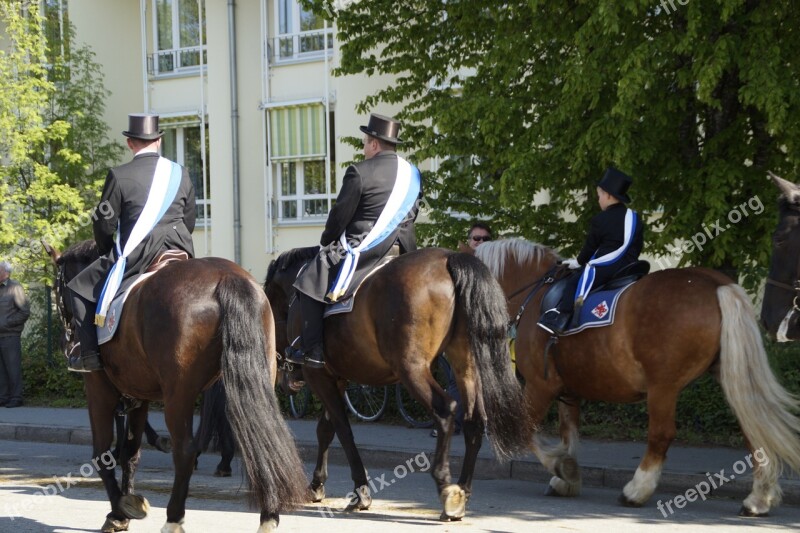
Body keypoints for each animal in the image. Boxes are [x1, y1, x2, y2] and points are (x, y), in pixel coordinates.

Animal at [46, 241, 306, 532]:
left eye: (58, 289)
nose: (66, 343)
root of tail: (227, 277)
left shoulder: (99, 392)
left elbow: (103, 455)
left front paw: (118, 511)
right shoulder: (139, 396)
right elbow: (129, 453)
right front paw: (125, 506)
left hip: (178, 395)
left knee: (185, 450)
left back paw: (173, 517)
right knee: (262, 438)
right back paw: (268, 515)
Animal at [266, 246, 536, 520]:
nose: (282, 379)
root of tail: (449, 257)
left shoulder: (319, 376)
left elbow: (342, 430)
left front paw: (360, 490)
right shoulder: (335, 379)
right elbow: (325, 430)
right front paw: (316, 484)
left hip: (412, 369)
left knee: (445, 409)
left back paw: (446, 487)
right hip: (465, 364)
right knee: (474, 420)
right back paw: (463, 490)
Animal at [472, 240, 800, 516]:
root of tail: (715, 282)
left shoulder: (541, 386)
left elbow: (525, 431)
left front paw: (562, 468)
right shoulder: (569, 389)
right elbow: (569, 432)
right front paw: (566, 478)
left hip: (663, 386)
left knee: (662, 434)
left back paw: (637, 490)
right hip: (728, 377)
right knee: (753, 428)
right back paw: (759, 498)